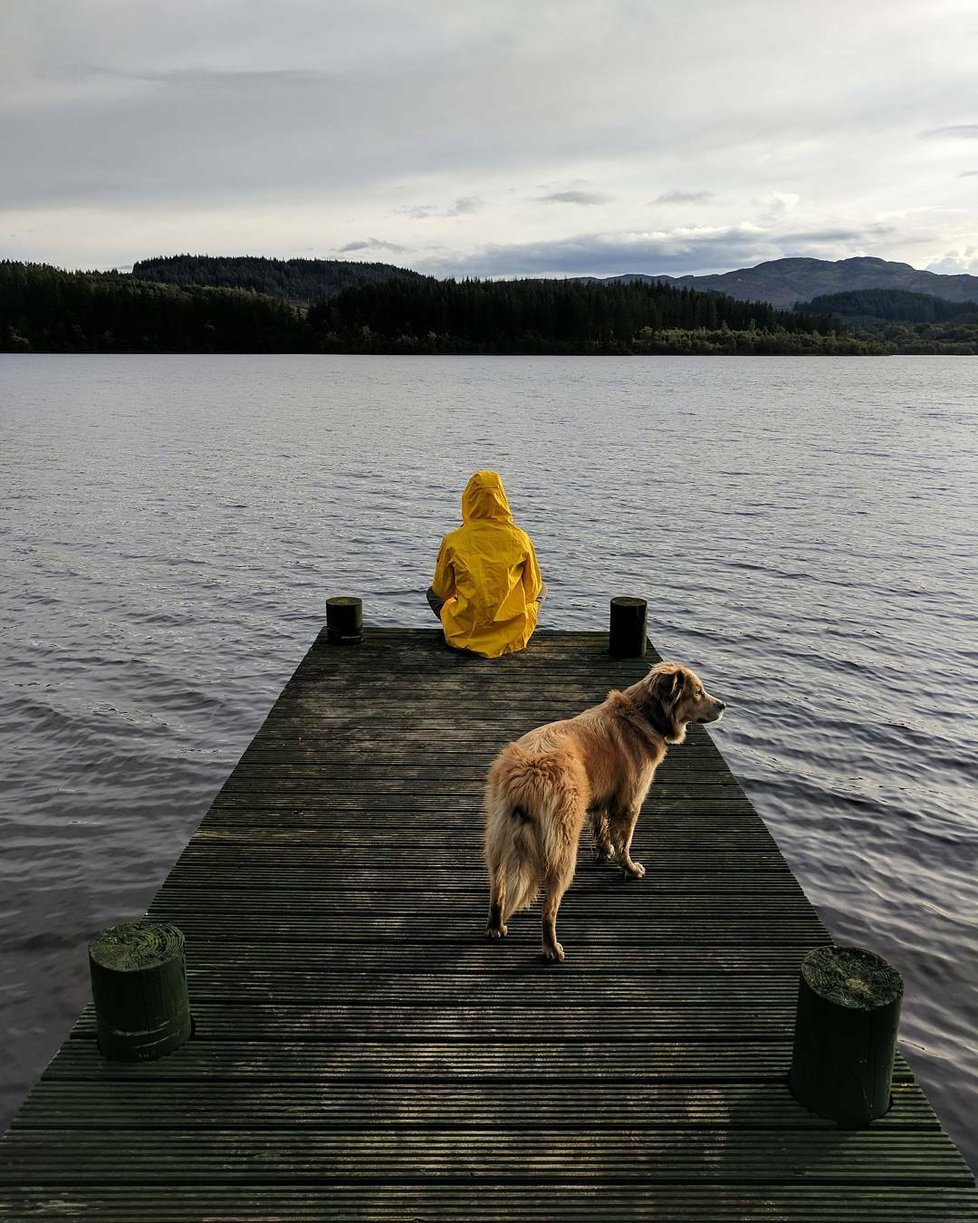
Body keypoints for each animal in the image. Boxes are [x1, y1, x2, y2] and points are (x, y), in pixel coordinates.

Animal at [484, 665, 723, 958]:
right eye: (698, 692)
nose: (723, 705)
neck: (642, 714)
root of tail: (528, 772)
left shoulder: (601, 798)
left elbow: (601, 828)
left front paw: (603, 852)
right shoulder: (630, 803)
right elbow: (625, 843)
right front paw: (629, 868)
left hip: (498, 839)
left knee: (498, 887)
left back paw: (495, 926)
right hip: (563, 850)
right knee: (548, 908)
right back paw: (552, 948)